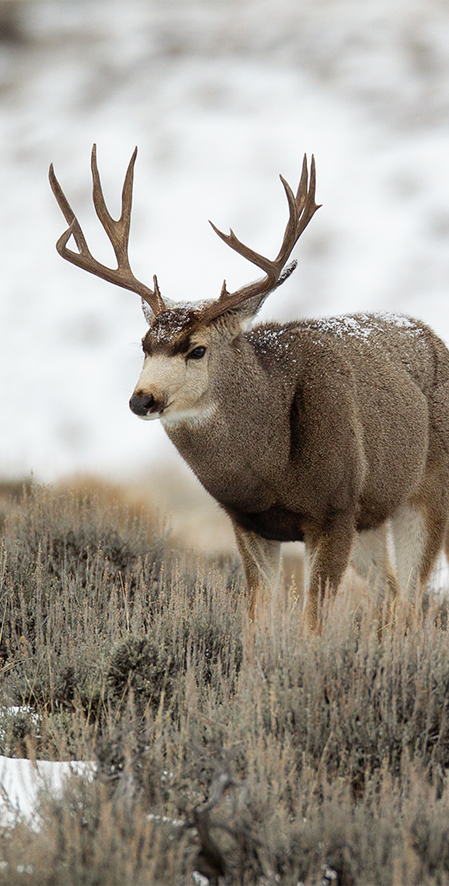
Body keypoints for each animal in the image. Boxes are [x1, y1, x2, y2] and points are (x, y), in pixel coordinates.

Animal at [49, 146, 449, 629]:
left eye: (197, 349)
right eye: (144, 345)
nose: (142, 399)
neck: (271, 467)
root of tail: (431, 333)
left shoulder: (335, 509)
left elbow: (313, 623)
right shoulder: (248, 521)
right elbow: (258, 620)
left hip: (427, 492)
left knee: (411, 601)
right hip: (372, 516)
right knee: (390, 597)